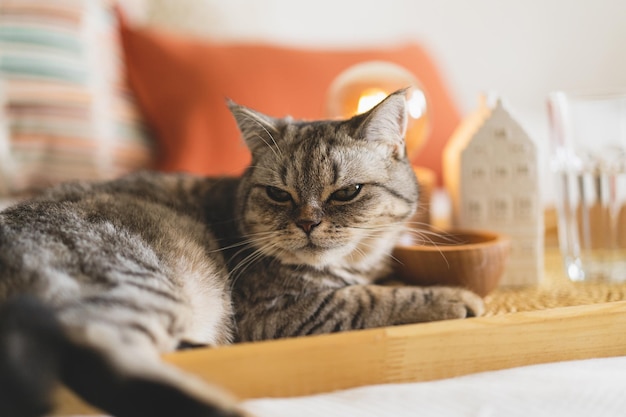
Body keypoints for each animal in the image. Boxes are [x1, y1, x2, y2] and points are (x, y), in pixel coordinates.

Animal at [0, 91, 482, 416]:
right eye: (278, 194)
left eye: (347, 193)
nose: (307, 223)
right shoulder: (280, 312)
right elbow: (374, 299)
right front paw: (456, 298)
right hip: (139, 282)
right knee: (105, 356)